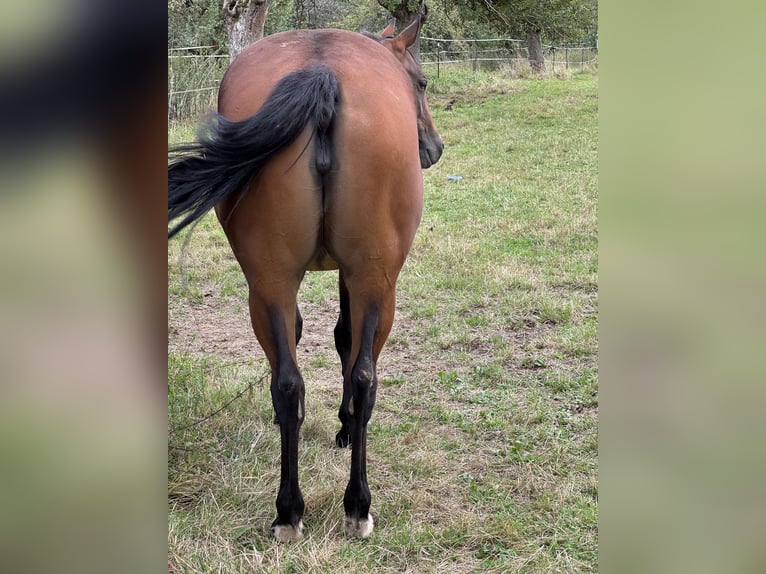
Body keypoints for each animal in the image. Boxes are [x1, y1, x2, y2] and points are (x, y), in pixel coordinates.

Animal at [168, 17, 443, 541]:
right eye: (420, 83)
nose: (434, 148)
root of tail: (322, 71)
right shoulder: (353, 278)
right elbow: (344, 340)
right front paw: (343, 428)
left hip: (270, 284)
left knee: (288, 382)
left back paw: (288, 509)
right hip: (376, 283)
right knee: (364, 376)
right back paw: (357, 505)